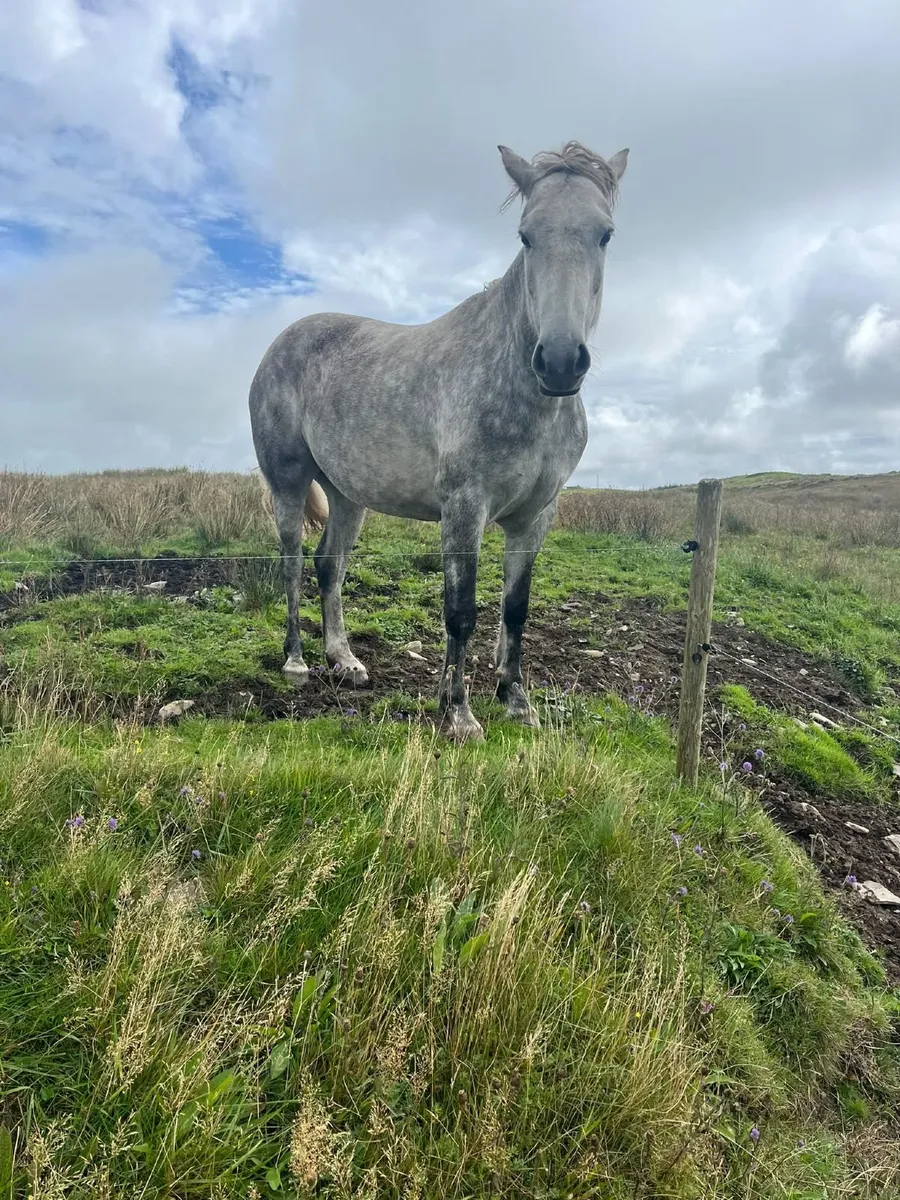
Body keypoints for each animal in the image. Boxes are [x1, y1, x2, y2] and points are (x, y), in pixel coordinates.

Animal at [249, 140, 628, 741]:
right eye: (526, 235)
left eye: (604, 234)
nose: (560, 361)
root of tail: (282, 341)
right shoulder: (464, 508)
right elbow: (461, 611)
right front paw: (457, 715)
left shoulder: (535, 516)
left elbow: (515, 609)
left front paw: (516, 702)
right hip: (288, 481)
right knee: (291, 561)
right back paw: (297, 663)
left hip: (348, 494)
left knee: (329, 566)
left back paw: (345, 660)